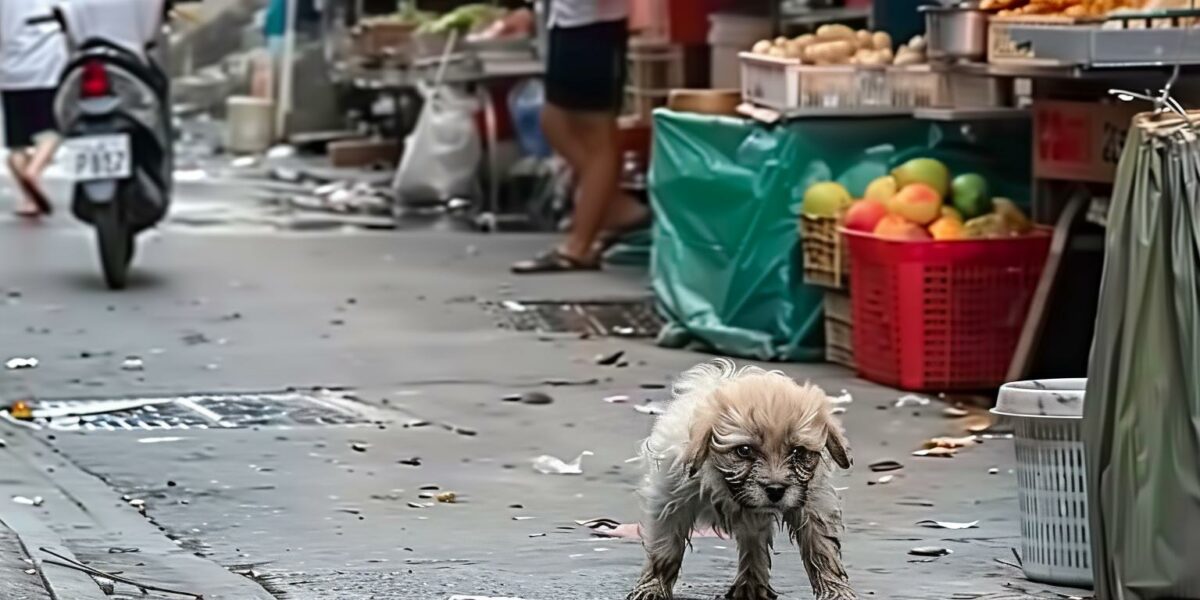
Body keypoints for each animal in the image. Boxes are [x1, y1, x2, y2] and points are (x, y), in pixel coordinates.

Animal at [628, 360, 854, 600]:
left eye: (798, 451)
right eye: (744, 450)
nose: (775, 490)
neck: (722, 483)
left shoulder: (812, 501)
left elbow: (821, 547)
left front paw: (836, 590)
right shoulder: (670, 500)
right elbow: (665, 547)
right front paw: (653, 587)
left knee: (753, 544)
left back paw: (751, 585)